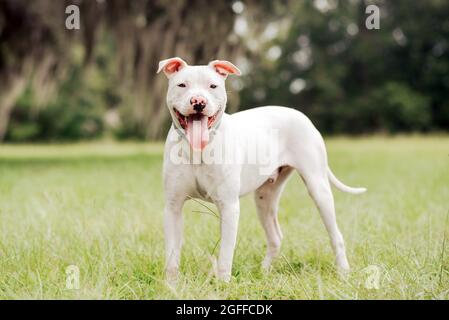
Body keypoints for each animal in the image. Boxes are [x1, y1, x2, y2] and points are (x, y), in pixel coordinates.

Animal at [157, 56, 364, 282]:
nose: (198, 102)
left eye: (213, 86)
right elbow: (172, 255)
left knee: (336, 235)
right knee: (275, 237)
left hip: (318, 189)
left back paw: (344, 272)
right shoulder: (173, 207)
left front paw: (223, 284)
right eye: (182, 85)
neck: (198, 150)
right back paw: (264, 271)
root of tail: (300, 114)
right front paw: (171, 285)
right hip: (265, 197)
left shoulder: (229, 206)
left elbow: (225, 255)